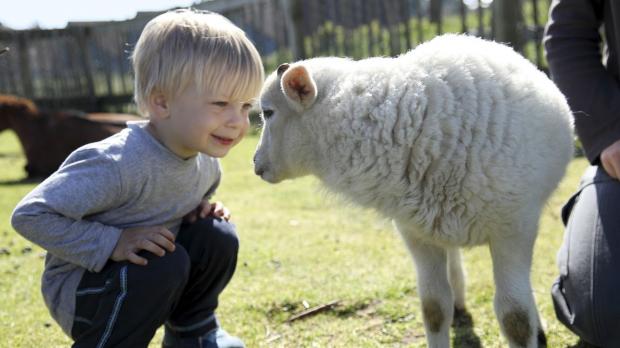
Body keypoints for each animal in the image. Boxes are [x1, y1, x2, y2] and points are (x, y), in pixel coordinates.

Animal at [252, 34, 572, 348]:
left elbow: (515, 318)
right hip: (439, 221)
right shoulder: (416, 234)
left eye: (268, 112)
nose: (255, 164)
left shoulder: (513, 230)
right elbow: (434, 308)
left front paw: (529, 327)